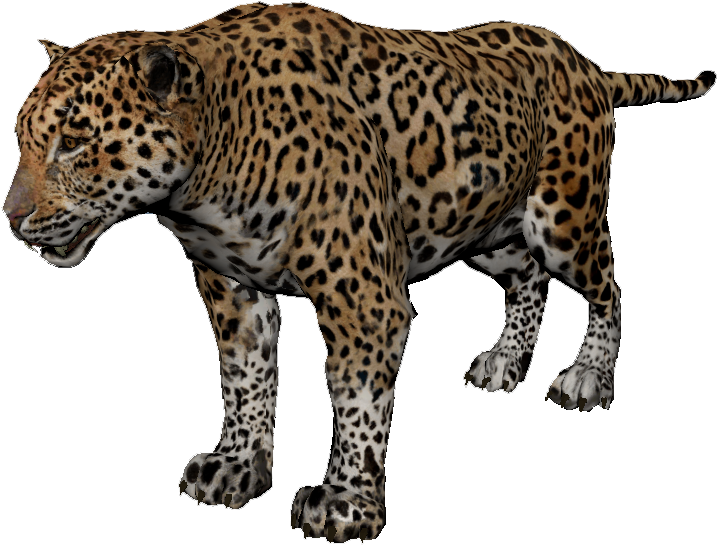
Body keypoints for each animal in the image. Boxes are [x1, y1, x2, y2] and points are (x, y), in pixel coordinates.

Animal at [4, 2, 714, 543]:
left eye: (75, 142)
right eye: (20, 138)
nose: (9, 216)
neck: (211, 162)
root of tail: (583, 60)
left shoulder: (362, 297)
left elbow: (355, 398)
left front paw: (346, 501)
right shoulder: (232, 288)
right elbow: (245, 378)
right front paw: (237, 464)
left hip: (566, 217)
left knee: (610, 281)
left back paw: (589, 376)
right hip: (490, 226)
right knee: (527, 279)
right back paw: (502, 362)